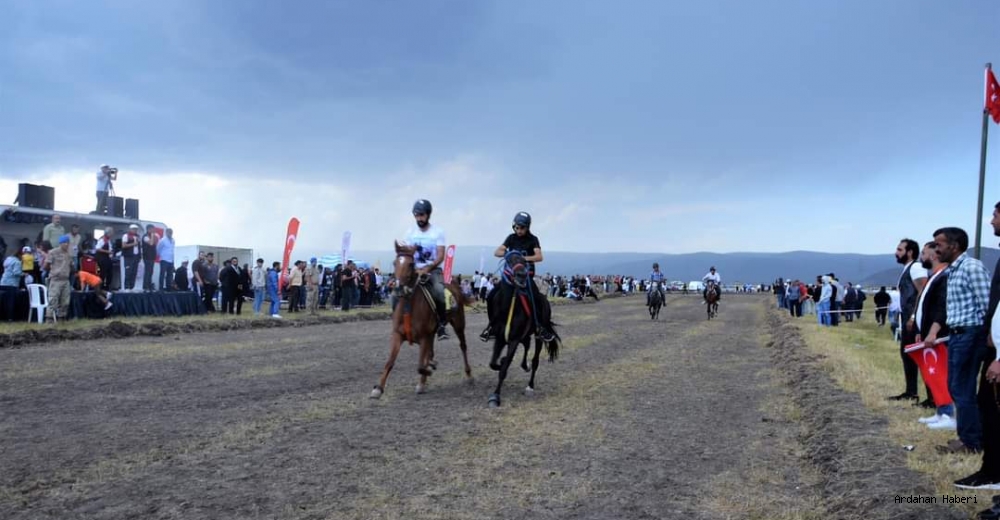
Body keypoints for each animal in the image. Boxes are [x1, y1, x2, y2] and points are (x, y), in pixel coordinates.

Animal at [370, 241, 473, 399]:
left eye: (411, 264)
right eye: (394, 262)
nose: (398, 287)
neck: (409, 307)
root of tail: (455, 285)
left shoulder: (424, 337)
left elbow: (420, 365)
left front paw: (424, 377)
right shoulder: (398, 335)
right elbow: (390, 362)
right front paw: (378, 388)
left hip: (458, 323)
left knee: (463, 346)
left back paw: (468, 374)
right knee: (432, 353)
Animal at [486, 251, 561, 408]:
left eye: (524, 261)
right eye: (509, 260)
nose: (521, 275)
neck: (507, 309)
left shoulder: (513, 340)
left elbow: (504, 369)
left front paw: (495, 396)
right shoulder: (500, 338)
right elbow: (493, 363)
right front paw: (501, 361)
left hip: (538, 336)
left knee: (535, 361)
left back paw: (530, 386)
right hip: (525, 335)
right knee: (526, 345)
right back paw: (523, 365)